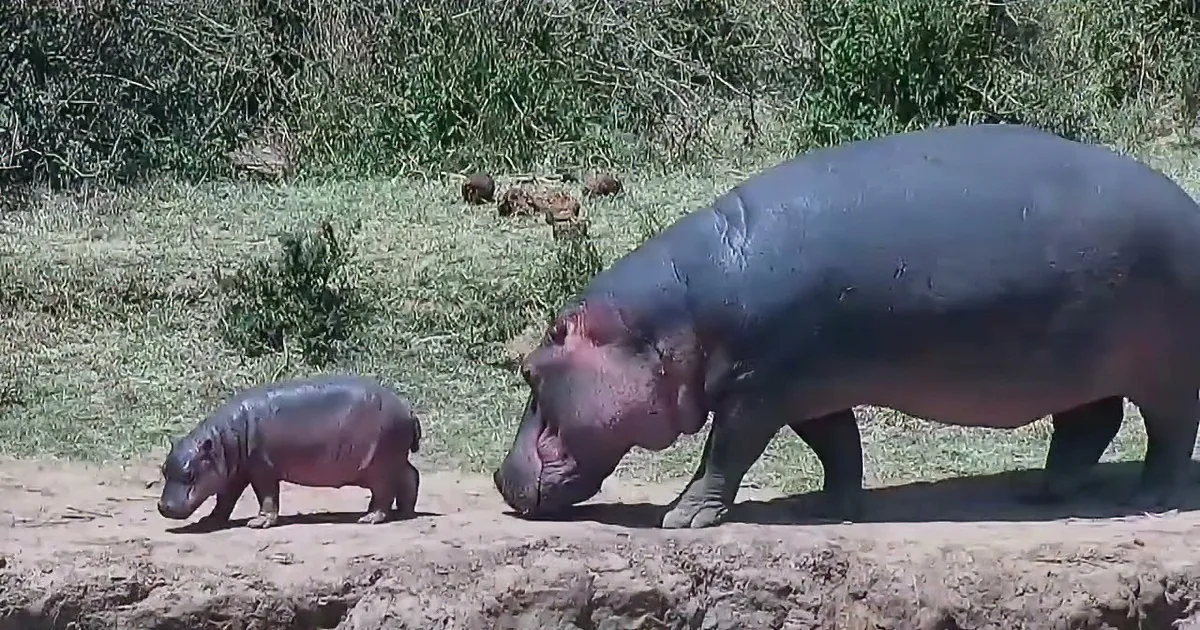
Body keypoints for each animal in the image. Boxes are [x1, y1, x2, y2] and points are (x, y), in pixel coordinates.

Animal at [157, 374, 422, 529]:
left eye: (190, 474)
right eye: (164, 469)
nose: (163, 507)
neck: (223, 439)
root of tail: (407, 408)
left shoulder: (262, 469)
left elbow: (267, 496)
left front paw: (258, 523)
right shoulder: (236, 473)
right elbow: (225, 499)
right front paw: (210, 519)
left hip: (380, 465)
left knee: (384, 491)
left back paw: (369, 518)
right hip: (394, 459)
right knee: (411, 475)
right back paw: (404, 511)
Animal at [492, 122, 1200, 529]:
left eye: (530, 369)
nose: (499, 478)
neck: (672, 317)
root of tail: (1188, 207)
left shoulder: (756, 389)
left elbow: (725, 453)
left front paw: (683, 518)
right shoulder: (806, 388)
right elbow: (837, 446)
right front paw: (832, 509)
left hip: (1162, 366)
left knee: (1169, 429)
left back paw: (1146, 498)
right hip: (1082, 363)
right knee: (1092, 420)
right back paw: (1046, 492)